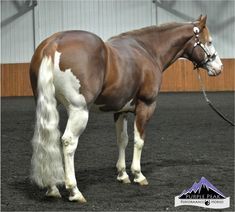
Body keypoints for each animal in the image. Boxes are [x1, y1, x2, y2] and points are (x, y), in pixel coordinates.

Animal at [29, 15, 222, 203]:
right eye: (209, 41)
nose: (219, 67)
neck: (148, 50)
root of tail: (54, 43)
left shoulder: (120, 111)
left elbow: (122, 140)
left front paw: (122, 175)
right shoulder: (146, 106)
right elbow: (139, 140)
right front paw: (138, 174)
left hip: (47, 106)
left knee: (46, 140)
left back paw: (52, 188)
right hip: (79, 111)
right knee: (68, 143)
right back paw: (74, 191)